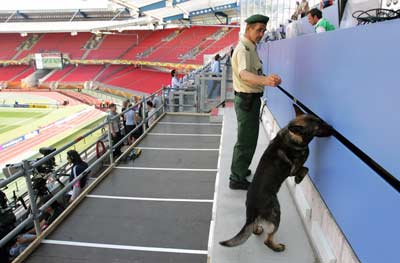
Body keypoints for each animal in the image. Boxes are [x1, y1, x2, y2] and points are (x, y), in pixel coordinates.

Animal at [220, 110, 332, 253]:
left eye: (321, 121)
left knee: (254, 229)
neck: (292, 137)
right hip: (277, 213)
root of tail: (253, 209)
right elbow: (305, 168)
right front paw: (299, 179)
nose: (332, 129)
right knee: (268, 240)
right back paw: (276, 247)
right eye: (318, 127)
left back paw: (258, 229)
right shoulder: (293, 169)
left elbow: (305, 168)